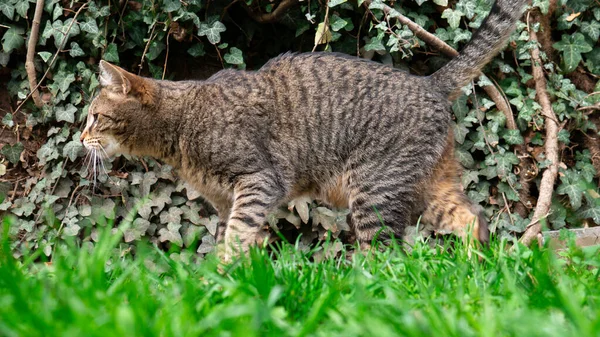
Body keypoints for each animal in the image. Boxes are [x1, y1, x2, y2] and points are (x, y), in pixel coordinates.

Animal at [82, 0, 528, 258]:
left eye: (94, 116)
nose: (80, 138)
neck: (180, 125)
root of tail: (428, 82)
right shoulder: (227, 201)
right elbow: (236, 237)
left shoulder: (258, 182)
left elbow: (236, 237)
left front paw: (224, 278)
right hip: (426, 187)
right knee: (473, 218)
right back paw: (473, 269)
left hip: (375, 192)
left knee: (385, 256)